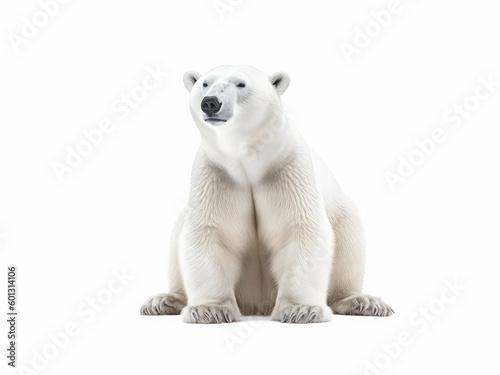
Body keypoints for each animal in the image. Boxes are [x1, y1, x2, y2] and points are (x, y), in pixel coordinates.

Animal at [141, 65, 394, 324]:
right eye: (205, 83)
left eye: (241, 84)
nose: (210, 103)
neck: (249, 160)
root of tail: (258, 302)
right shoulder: (217, 174)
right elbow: (211, 232)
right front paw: (209, 310)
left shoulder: (287, 169)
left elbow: (302, 229)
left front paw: (302, 309)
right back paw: (163, 301)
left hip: (343, 213)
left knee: (349, 239)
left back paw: (361, 301)